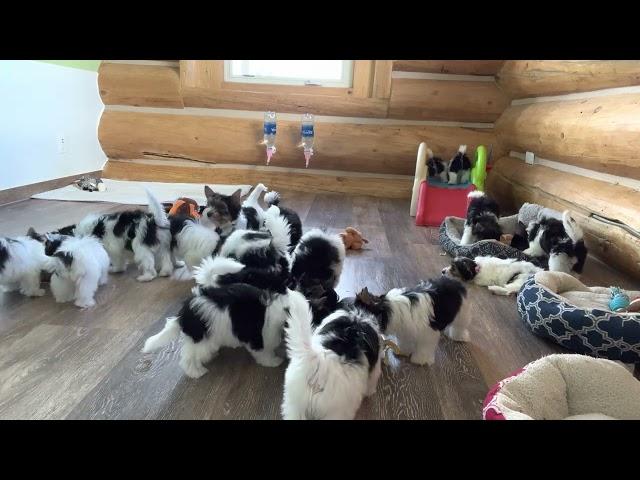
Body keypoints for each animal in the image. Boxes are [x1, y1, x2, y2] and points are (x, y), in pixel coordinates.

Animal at [144, 255, 308, 378]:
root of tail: (184, 313)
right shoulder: (260, 337)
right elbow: (264, 353)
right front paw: (273, 361)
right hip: (201, 338)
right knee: (189, 357)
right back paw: (196, 371)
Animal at [340, 276, 470, 366]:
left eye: (357, 313)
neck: (389, 309)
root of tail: (454, 281)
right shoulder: (406, 330)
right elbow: (406, 341)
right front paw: (404, 350)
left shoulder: (427, 334)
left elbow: (424, 347)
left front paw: (420, 359)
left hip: (462, 312)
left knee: (459, 326)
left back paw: (459, 336)